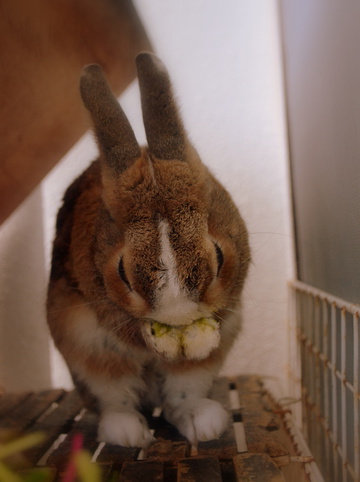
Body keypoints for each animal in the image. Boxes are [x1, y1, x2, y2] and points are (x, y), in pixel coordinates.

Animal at [47, 52, 250, 448]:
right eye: (122, 272)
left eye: (219, 257)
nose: (178, 317)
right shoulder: (103, 308)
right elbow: (130, 331)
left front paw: (198, 344)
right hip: (88, 350)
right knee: (116, 397)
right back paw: (127, 433)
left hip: (193, 374)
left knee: (178, 398)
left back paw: (203, 423)